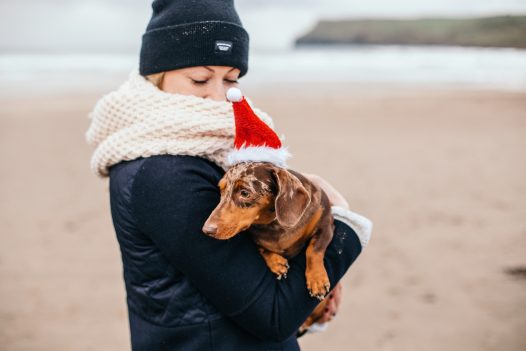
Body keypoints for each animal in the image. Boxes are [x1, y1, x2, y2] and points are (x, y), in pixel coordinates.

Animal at [204, 162, 336, 332]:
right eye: (221, 190)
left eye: (245, 193)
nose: (206, 230)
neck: (274, 227)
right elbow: (261, 248)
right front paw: (276, 263)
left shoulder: (326, 222)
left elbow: (314, 249)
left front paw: (317, 279)